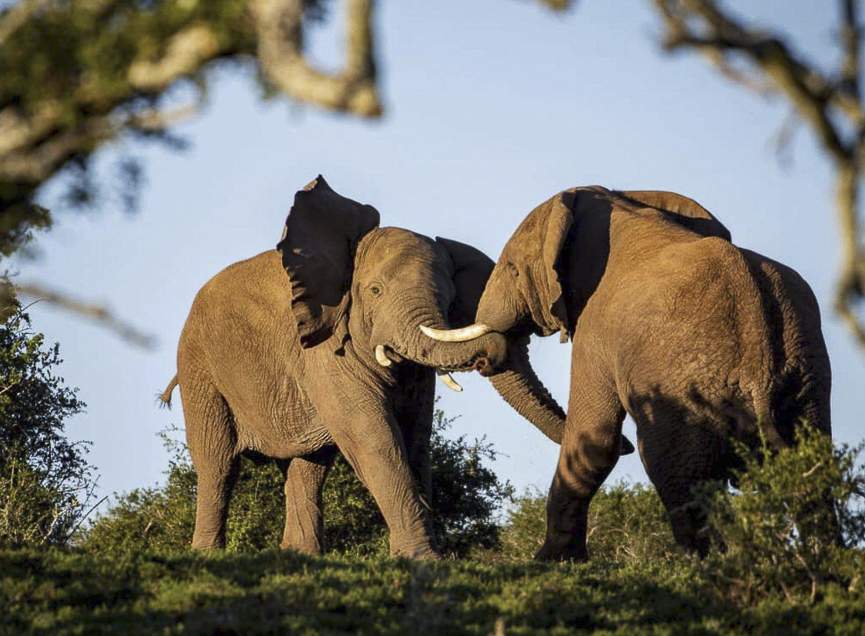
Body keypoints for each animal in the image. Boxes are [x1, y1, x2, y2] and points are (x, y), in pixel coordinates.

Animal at [160, 176, 628, 558]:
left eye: (448, 296)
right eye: (375, 291)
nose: (627, 444)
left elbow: (414, 437)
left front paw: (427, 556)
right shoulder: (325, 347)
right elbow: (374, 436)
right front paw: (423, 558)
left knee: (308, 468)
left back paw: (300, 558)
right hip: (199, 365)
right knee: (218, 462)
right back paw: (207, 555)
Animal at [421, 186, 831, 560]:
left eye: (512, 268)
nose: (485, 357)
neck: (618, 202)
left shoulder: (596, 331)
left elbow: (594, 438)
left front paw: (550, 562)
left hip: (686, 393)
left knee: (675, 471)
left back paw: (706, 567)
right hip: (804, 375)